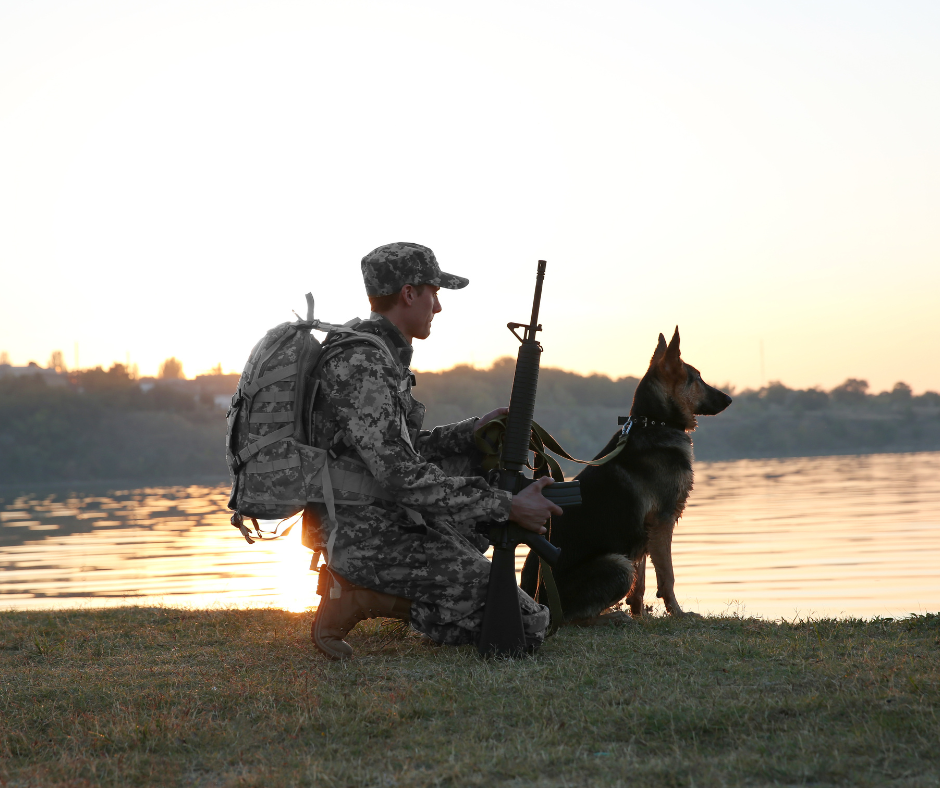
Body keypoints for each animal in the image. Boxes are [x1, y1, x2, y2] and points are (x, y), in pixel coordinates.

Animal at [520, 328, 736, 620]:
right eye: (698, 378)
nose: (729, 399)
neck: (654, 422)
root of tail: (533, 600)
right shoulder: (662, 521)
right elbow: (667, 576)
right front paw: (677, 613)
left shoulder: (644, 532)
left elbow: (640, 583)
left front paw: (640, 617)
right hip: (617, 563)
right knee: (575, 617)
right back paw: (612, 617)